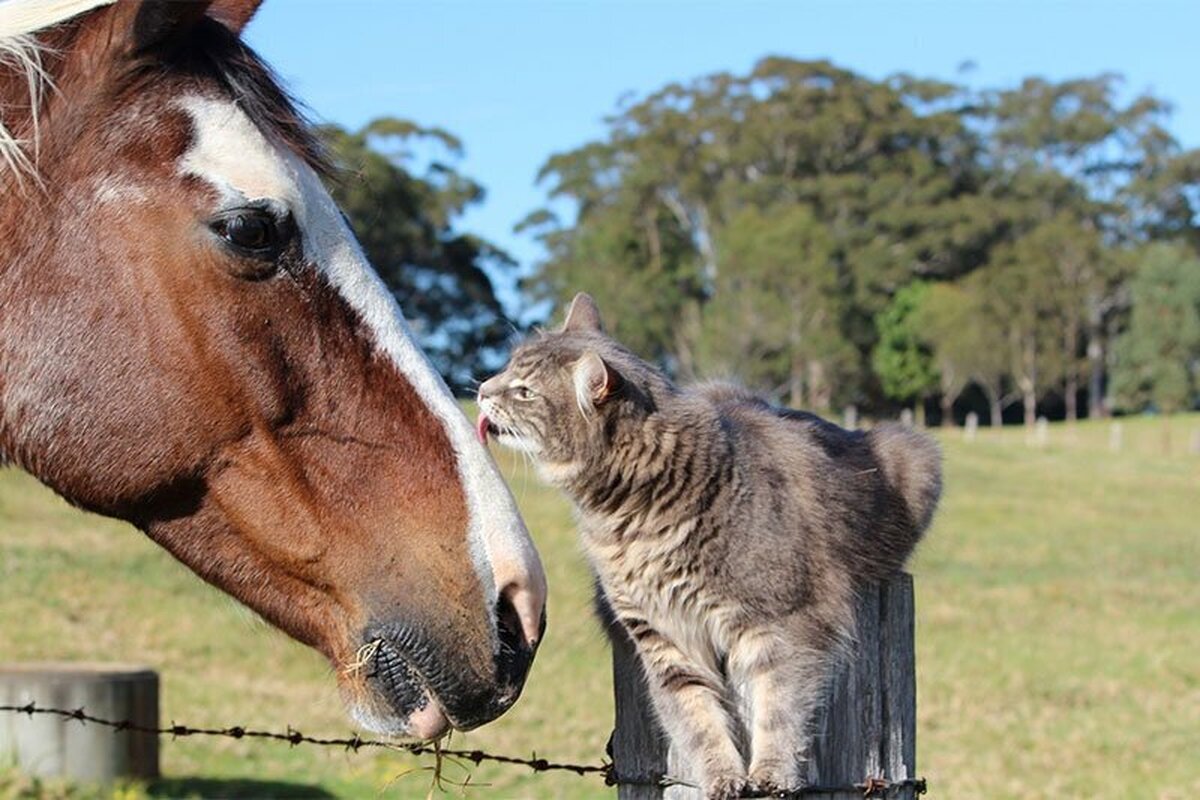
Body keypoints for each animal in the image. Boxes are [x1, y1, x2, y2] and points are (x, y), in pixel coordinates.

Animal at [475, 293, 936, 800]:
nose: (480, 388)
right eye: (507, 371)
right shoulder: (662, 637)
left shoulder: (788, 623)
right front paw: (722, 776)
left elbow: (780, 709)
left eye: (524, 391)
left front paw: (771, 773)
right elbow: (695, 719)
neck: (629, 519)